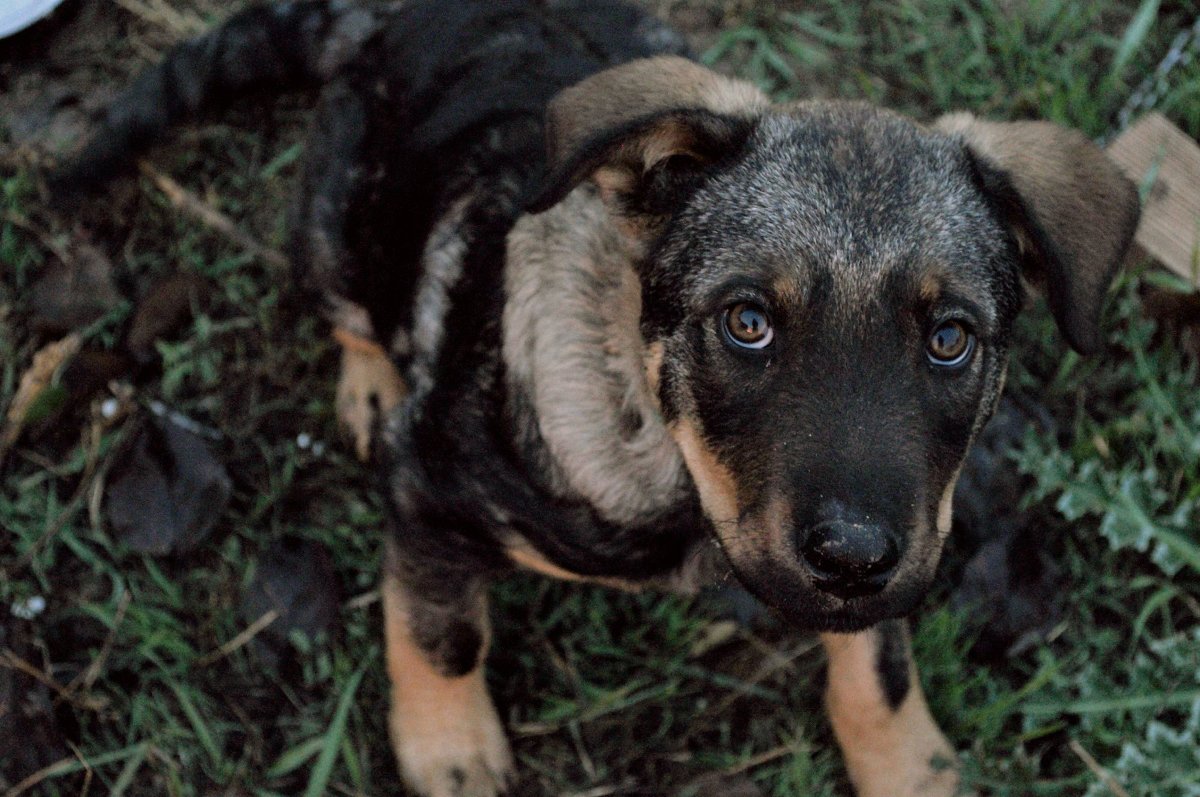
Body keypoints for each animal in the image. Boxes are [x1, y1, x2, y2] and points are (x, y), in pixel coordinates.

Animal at [56, 1, 1137, 797]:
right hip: (331, 225)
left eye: (950, 339)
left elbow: (879, 661)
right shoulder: (432, 489)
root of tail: (390, 17)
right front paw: (451, 750)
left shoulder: (902, 527)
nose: (851, 556)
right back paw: (369, 380)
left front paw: (908, 760)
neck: (664, 443)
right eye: (747, 321)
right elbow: (440, 629)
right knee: (350, 305)